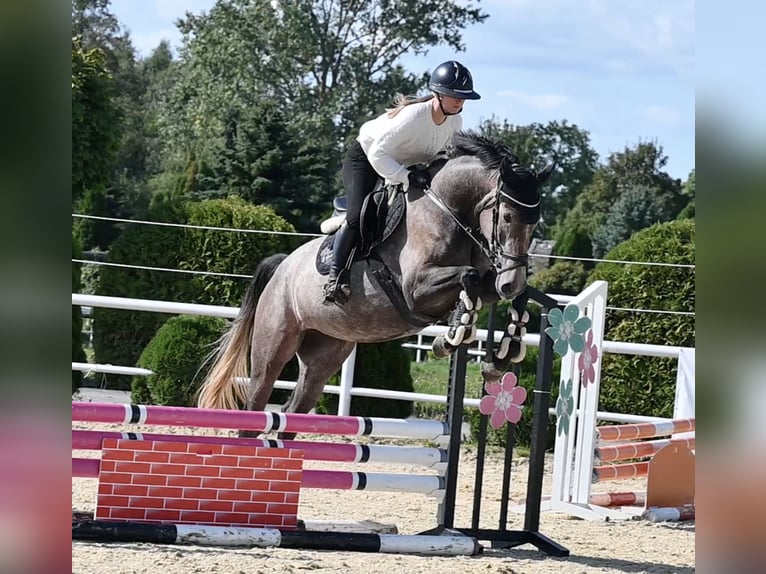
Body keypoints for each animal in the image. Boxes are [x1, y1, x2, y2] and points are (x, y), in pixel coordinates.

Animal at [197, 131, 552, 434]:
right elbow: (470, 277)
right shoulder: (415, 290)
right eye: (507, 217)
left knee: (294, 408)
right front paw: (454, 334)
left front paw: (505, 350)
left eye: (535, 223)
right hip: (273, 347)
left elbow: (507, 294)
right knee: (257, 404)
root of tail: (282, 267)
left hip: (323, 355)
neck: (448, 211)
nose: (511, 280)